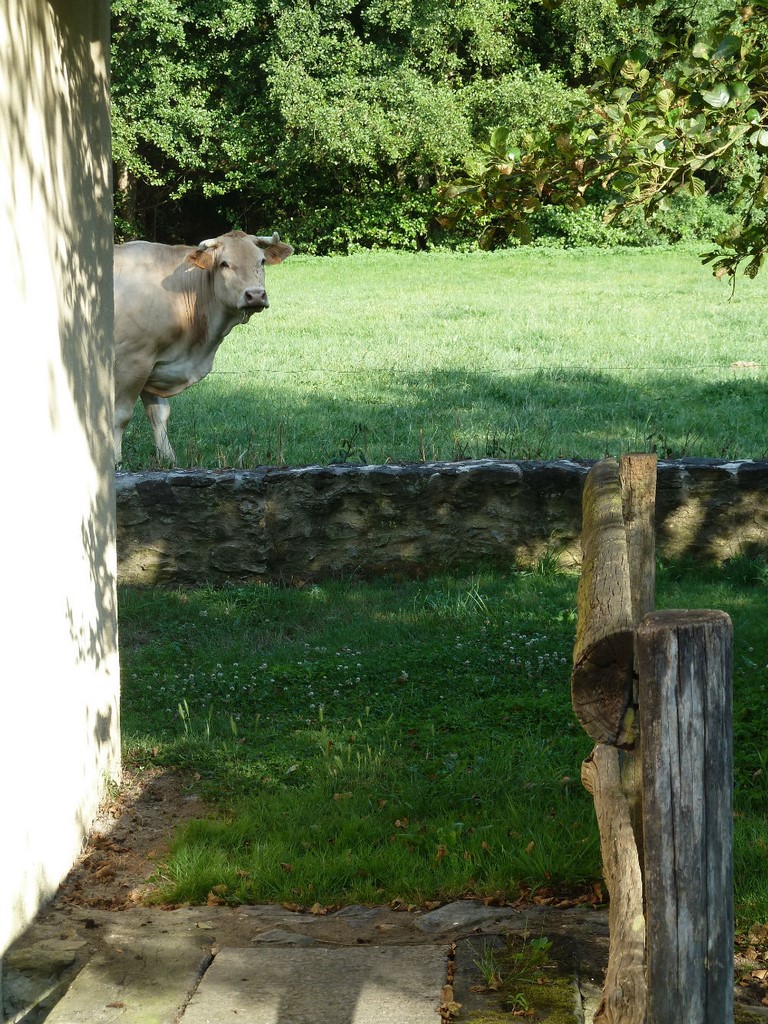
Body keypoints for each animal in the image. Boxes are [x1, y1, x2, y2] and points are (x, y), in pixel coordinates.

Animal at [112, 230, 292, 466]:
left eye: (261, 261)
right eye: (224, 263)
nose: (255, 295)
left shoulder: (156, 363)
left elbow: (159, 414)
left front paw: (168, 460)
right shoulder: (133, 359)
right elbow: (121, 415)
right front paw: (114, 460)